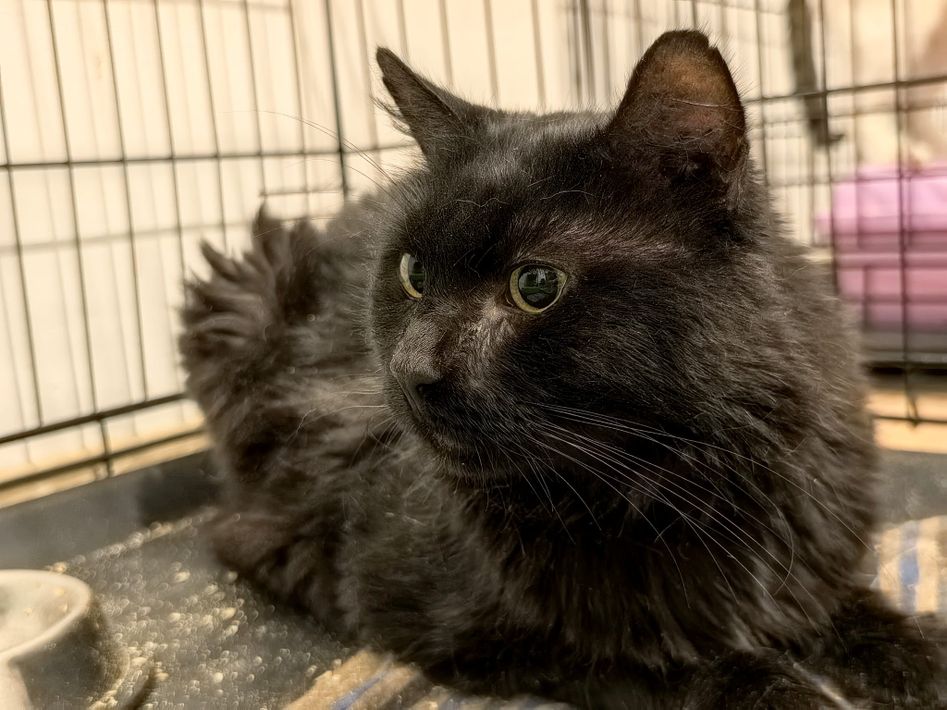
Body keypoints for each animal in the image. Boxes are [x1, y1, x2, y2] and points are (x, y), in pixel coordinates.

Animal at [180, 30, 945, 708]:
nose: (407, 370)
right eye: (412, 275)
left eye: (536, 286)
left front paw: (918, 652)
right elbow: (668, 660)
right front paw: (776, 687)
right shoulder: (453, 623)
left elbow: (851, 606)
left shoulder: (812, 549)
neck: (685, 473)